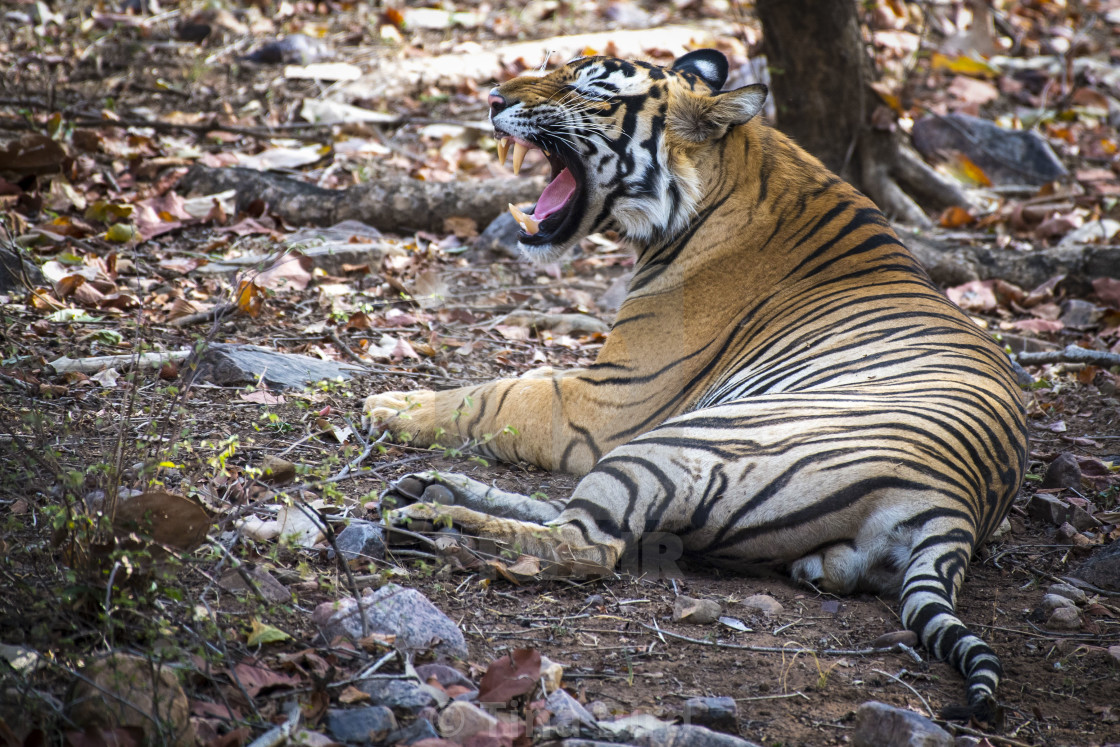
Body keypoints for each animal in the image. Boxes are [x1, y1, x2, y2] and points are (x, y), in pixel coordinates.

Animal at [362, 48, 1025, 725]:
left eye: (589, 89)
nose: (494, 98)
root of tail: (957, 509)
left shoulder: (607, 401)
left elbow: (497, 394)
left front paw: (392, 404)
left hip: (674, 442)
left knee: (584, 544)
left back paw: (432, 520)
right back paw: (432, 488)